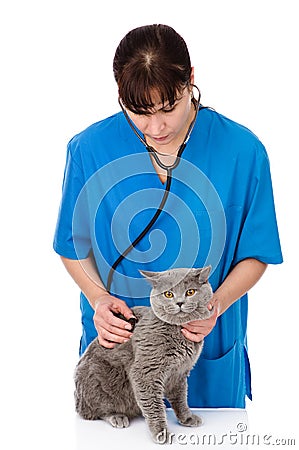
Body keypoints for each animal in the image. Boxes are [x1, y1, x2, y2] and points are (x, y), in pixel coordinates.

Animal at [76, 268, 214, 442]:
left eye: (190, 292)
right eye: (168, 294)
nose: (180, 302)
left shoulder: (179, 373)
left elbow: (180, 398)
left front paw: (186, 417)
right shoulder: (146, 372)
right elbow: (154, 405)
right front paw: (161, 432)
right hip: (101, 383)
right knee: (97, 410)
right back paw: (117, 417)